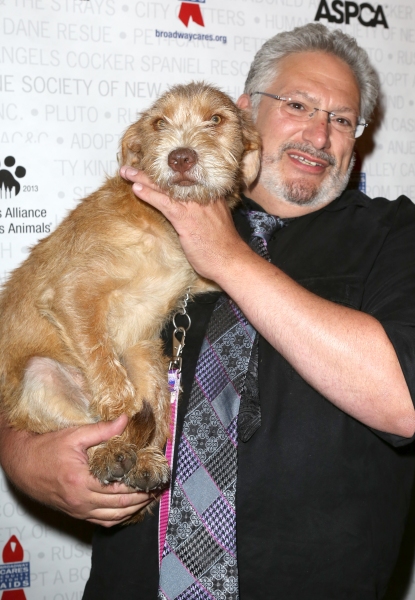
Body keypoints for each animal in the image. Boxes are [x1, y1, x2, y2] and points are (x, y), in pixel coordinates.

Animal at [0, 83, 260, 506]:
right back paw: (110, 451)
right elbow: (111, 379)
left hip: (149, 362)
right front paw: (118, 430)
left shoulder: (197, 282)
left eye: (216, 119)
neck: (165, 227)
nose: (180, 156)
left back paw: (146, 459)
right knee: (83, 426)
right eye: (159, 123)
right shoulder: (72, 293)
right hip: (42, 376)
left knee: (157, 411)